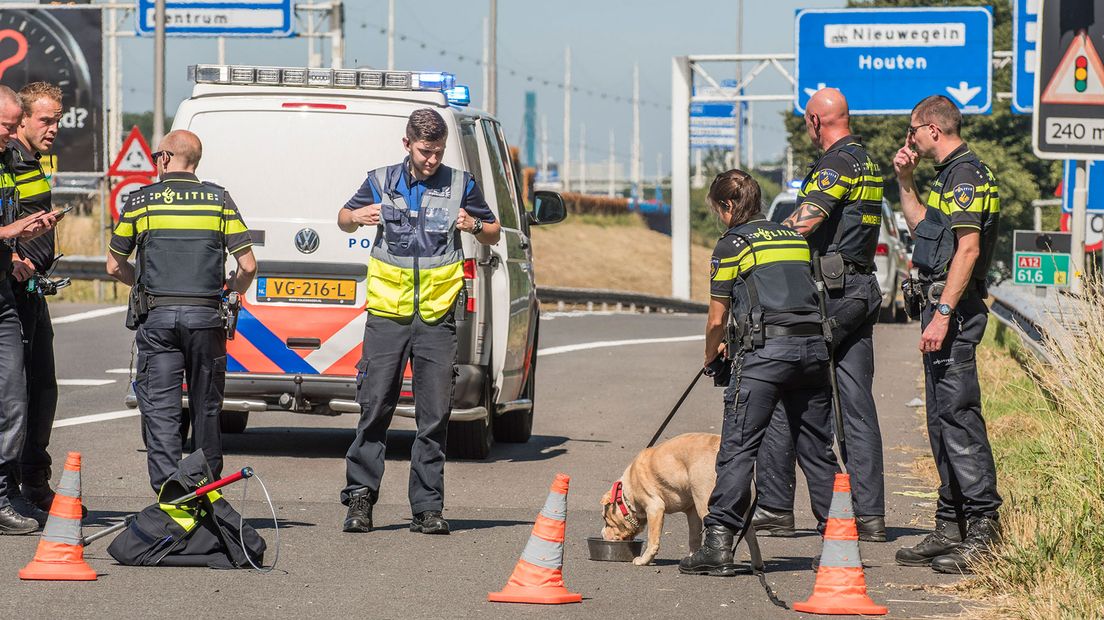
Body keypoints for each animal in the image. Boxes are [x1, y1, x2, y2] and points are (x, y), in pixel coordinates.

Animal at [600, 432, 719, 562]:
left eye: (605, 518)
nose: (602, 534)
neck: (627, 496)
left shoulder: (654, 508)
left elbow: (652, 539)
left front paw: (644, 560)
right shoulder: (692, 511)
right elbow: (694, 537)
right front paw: (692, 557)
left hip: (704, 502)